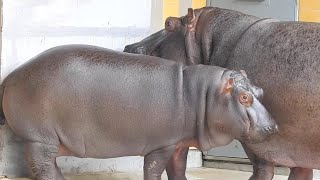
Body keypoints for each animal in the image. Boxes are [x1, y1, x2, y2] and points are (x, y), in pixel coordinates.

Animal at [0, 44, 276, 180]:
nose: (273, 127)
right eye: (244, 97)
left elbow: (178, 170)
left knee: (44, 164)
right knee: (41, 165)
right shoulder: (162, 144)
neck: (202, 95)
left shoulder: (179, 144)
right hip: (41, 137)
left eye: (260, 90)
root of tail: (11, 76)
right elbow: (153, 170)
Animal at [125, 6, 320, 180]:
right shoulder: (298, 152)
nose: (128, 47)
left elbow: (262, 172)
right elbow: (301, 174)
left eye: (168, 23)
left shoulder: (257, 141)